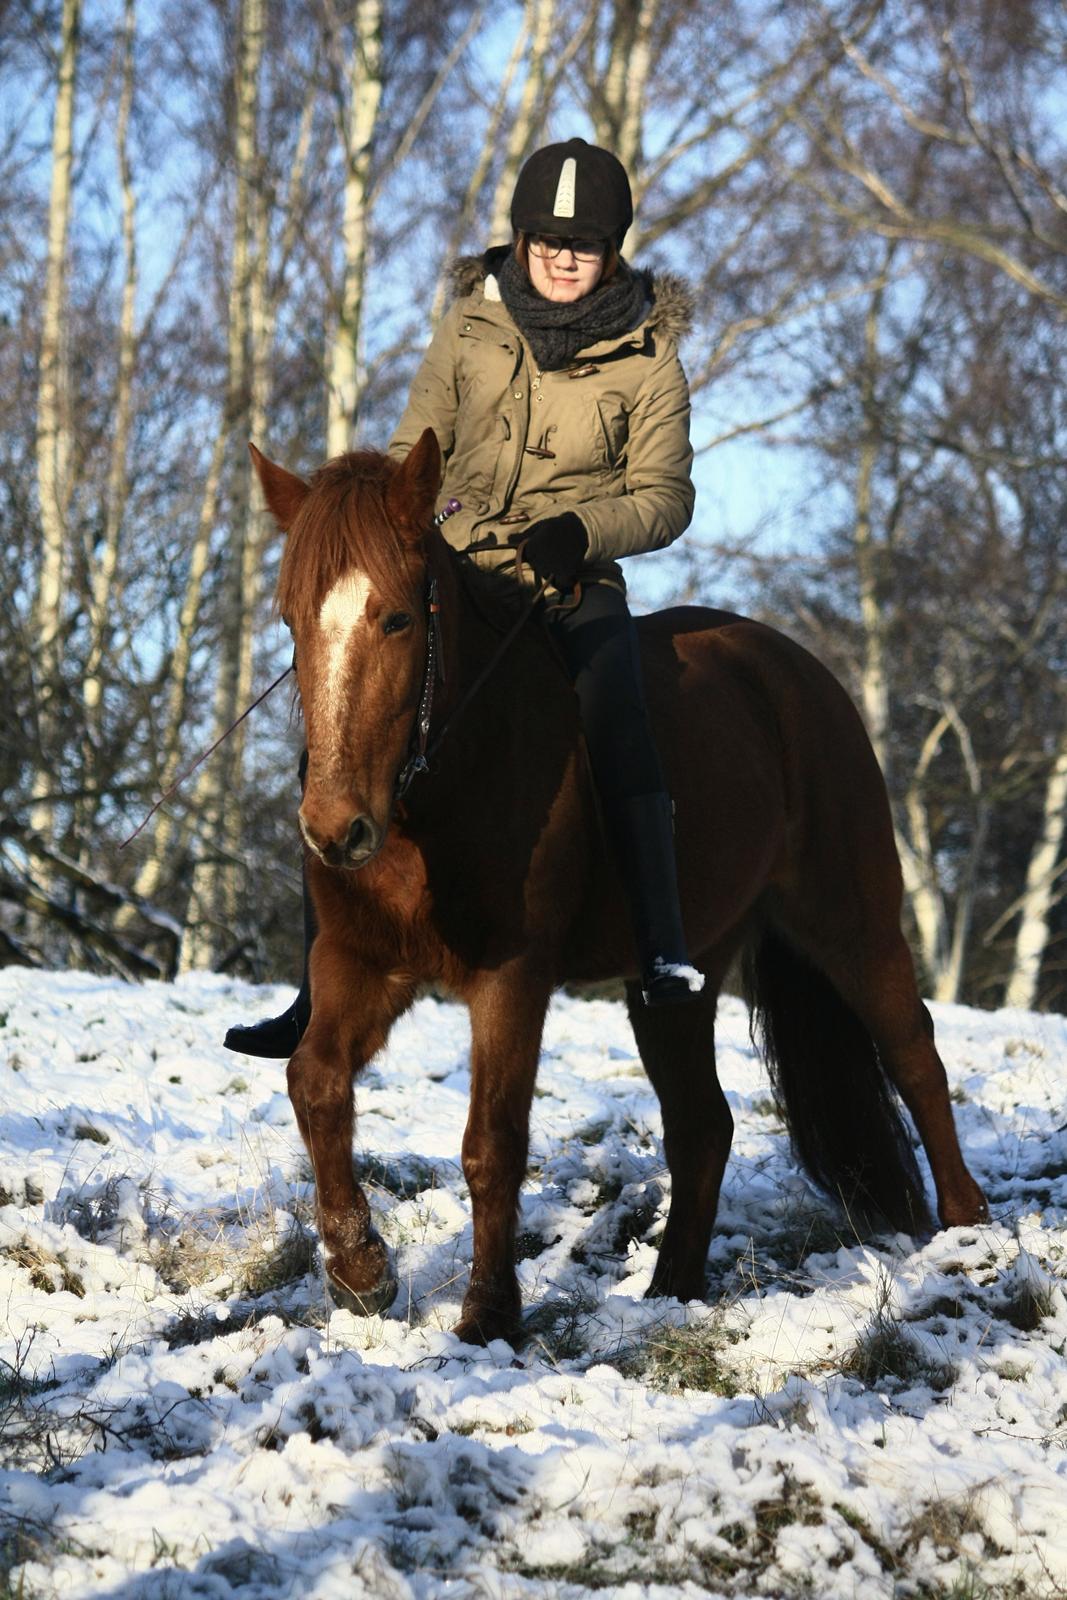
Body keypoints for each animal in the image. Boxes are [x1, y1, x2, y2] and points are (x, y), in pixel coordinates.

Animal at [254, 432, 991, 1344]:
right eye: (291, 622)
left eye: (395, 617)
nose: (334, 829)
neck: (439, 784)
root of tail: (797, 674)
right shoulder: (360, 963)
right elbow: (315, 1082)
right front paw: (361, 1272)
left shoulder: (512, 976)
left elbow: (492, 1139)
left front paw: (487, 1317)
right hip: (677, 979)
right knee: (704, 1124)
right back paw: (671, 1290)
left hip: (849, 921)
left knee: (913, 1054)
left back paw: (967, 1234)